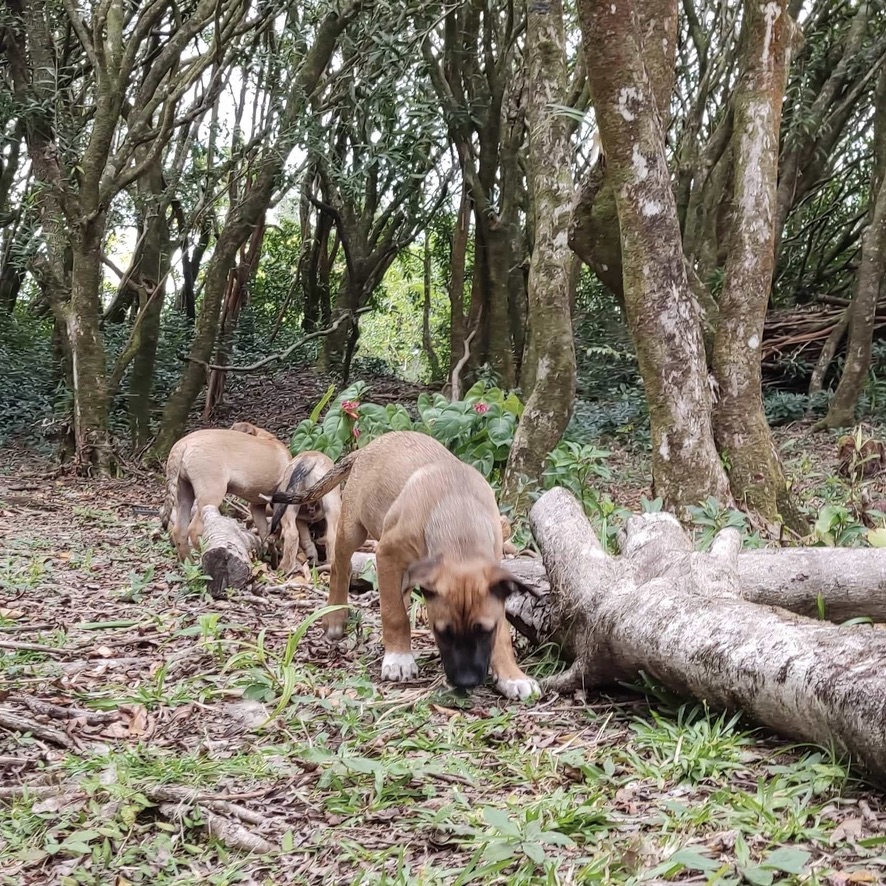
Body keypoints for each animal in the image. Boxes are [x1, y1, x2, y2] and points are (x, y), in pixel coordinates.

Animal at [161, 426, 294, 560]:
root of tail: (183, 443)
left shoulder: (257, 506)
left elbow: (266, 534)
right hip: (211, 495)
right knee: (194, 530)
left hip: (184, 493)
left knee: (179, 531)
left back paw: (189, 561)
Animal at [268, 430, 536, 700]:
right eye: (441, 632)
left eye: (484, 631)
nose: (466, 682)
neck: (460, 526)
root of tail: (371, 444)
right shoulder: (387, 555)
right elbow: (394, 613)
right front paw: (399, 659)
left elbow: (502, 634)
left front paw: (512, 675)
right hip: (352, 529)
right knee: (340, 568)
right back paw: (335, 617)